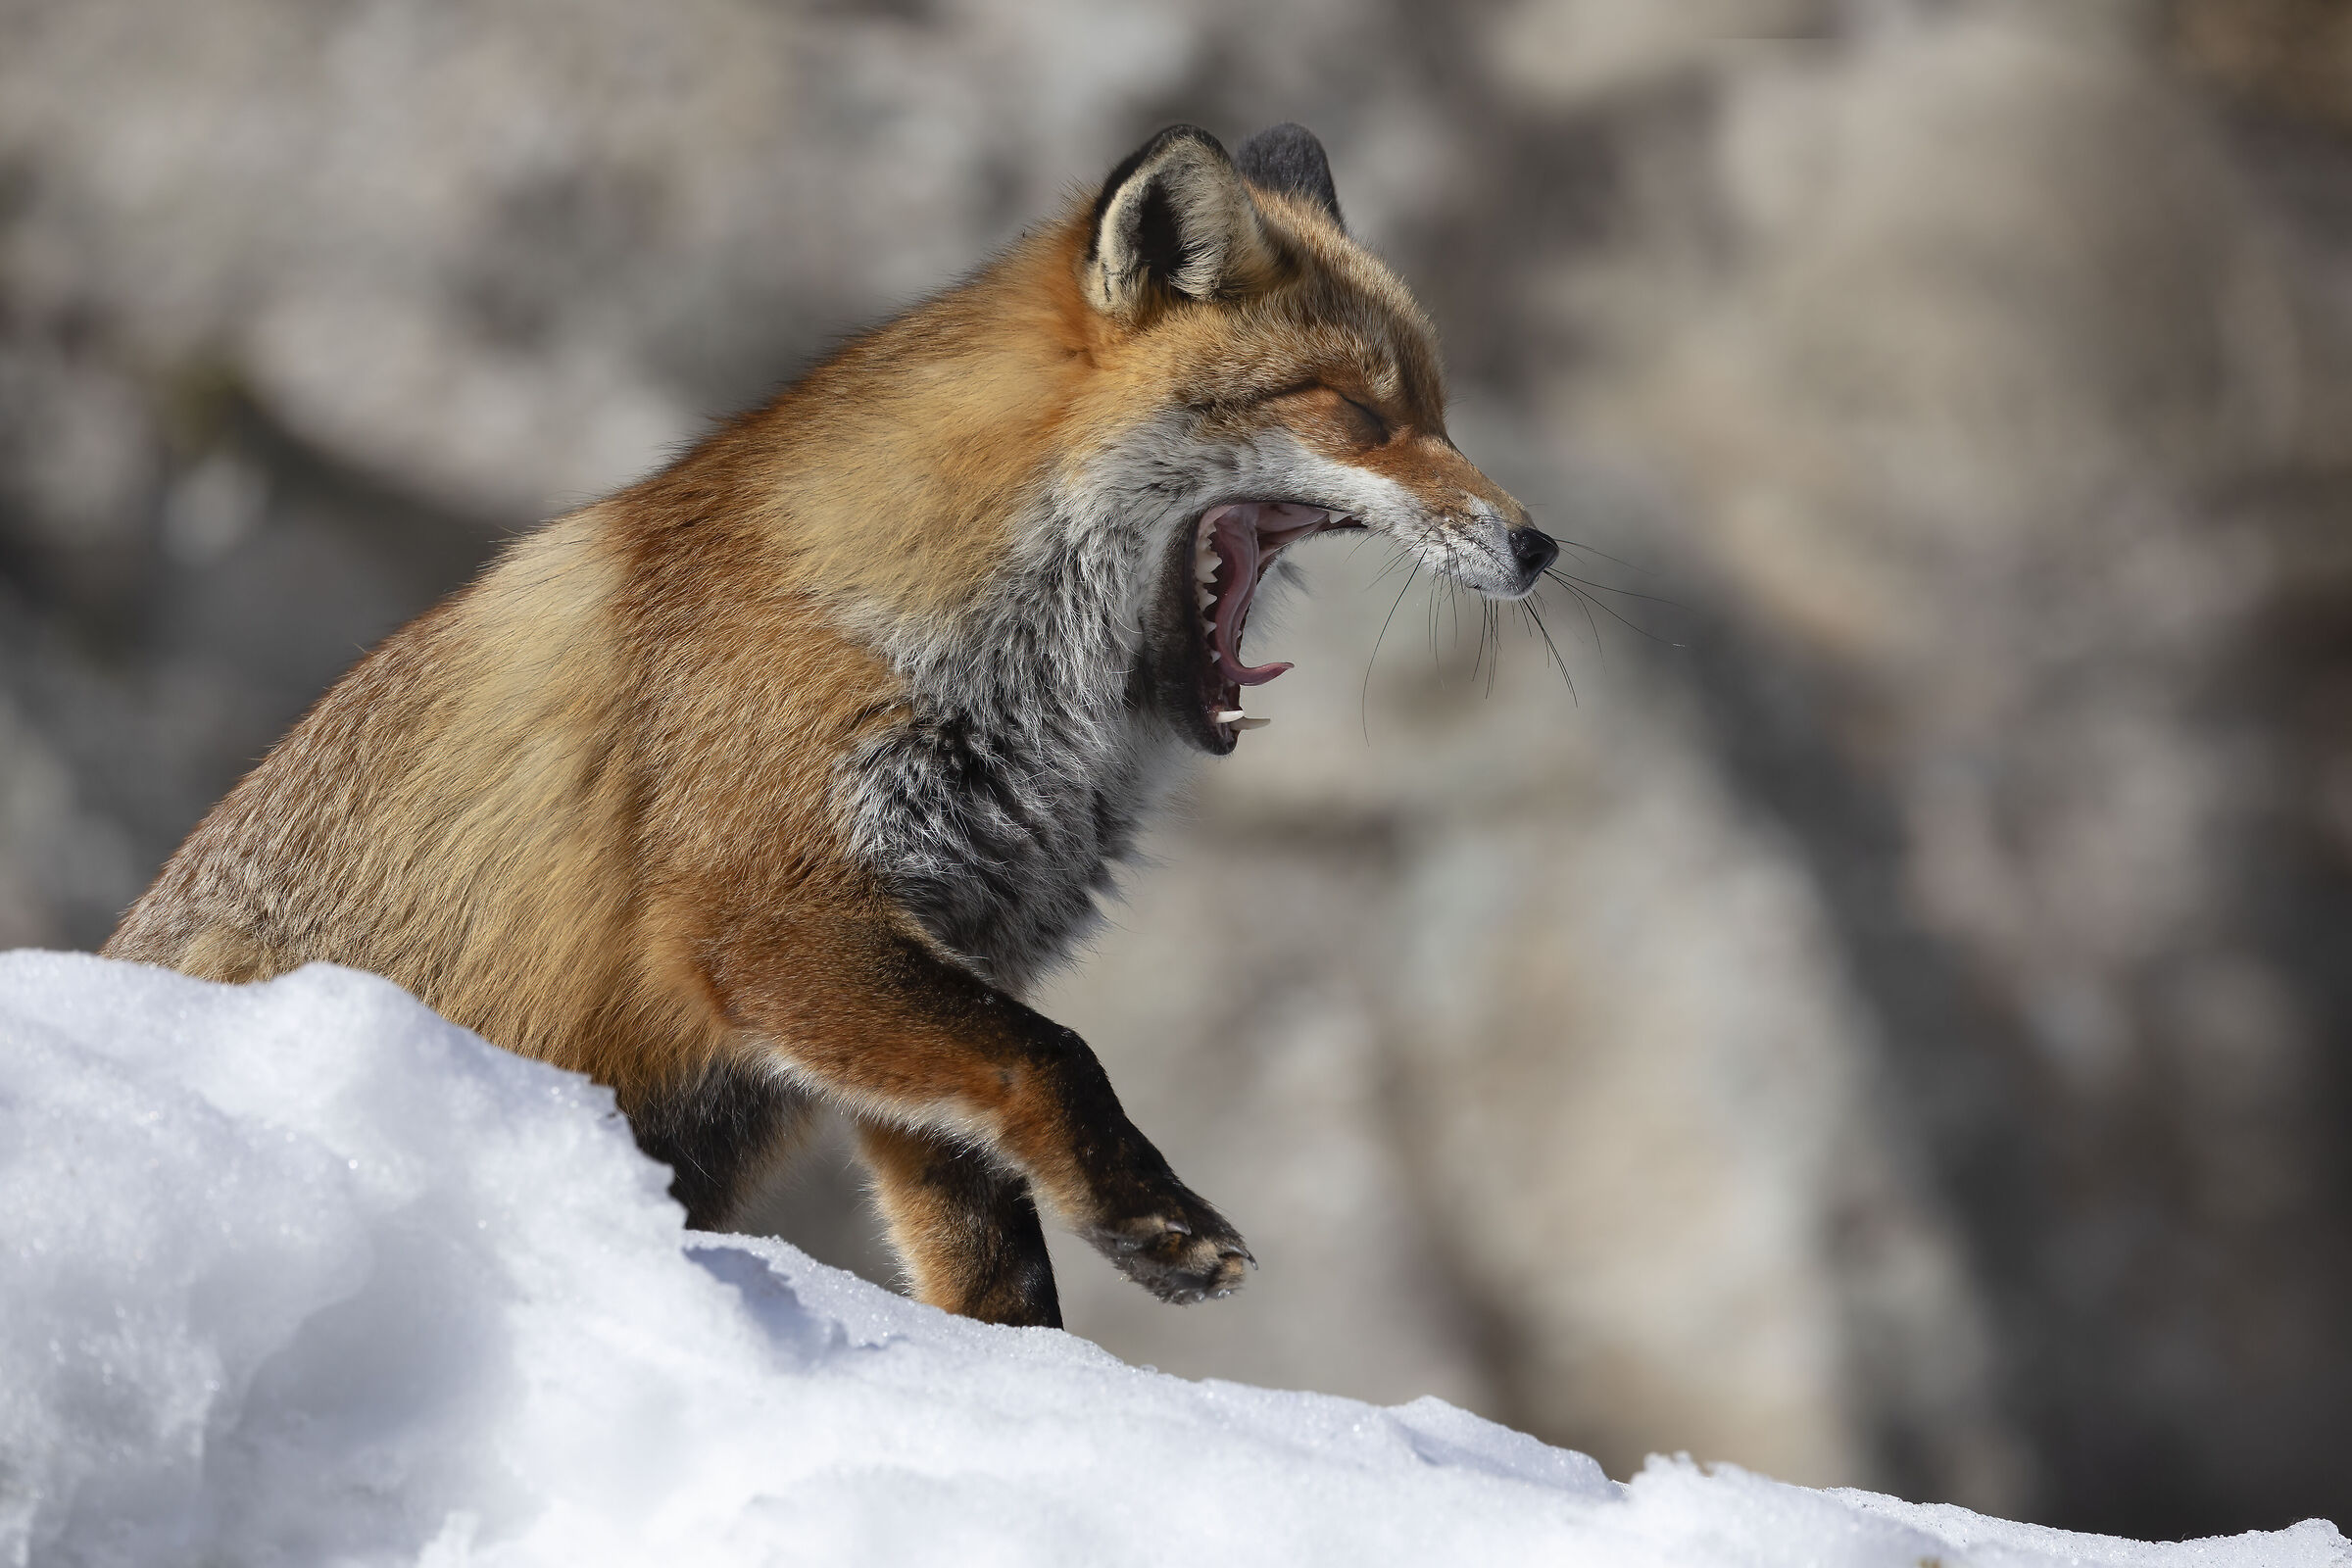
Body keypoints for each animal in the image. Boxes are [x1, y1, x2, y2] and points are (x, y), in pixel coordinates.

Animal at [105, 123, 1555, 1328]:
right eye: (1361, 415)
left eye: (1438, 410)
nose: (1540, 545)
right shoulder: (771, 914)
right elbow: (1060, 1059)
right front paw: (1153, 1221)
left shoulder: (936, 951)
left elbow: (990, 1247)